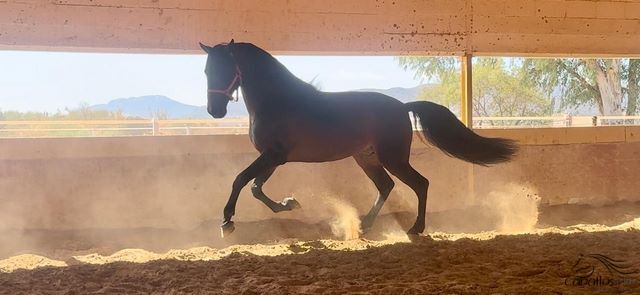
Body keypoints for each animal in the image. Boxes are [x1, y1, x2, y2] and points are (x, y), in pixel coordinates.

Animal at [200, 40, 520, 238]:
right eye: (206, 70)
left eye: (226, 69)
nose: (215, 111)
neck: (277, 101)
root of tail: (402, 107)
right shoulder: (274, 158)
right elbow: (256, 188)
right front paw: (289, 204)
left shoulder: (273, 155)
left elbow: (241, 180)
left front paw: (227, 222)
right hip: (367, 158)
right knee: (386, 185)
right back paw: (365, 225)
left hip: (392, 158)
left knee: (420, 184)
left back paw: (415, 229)